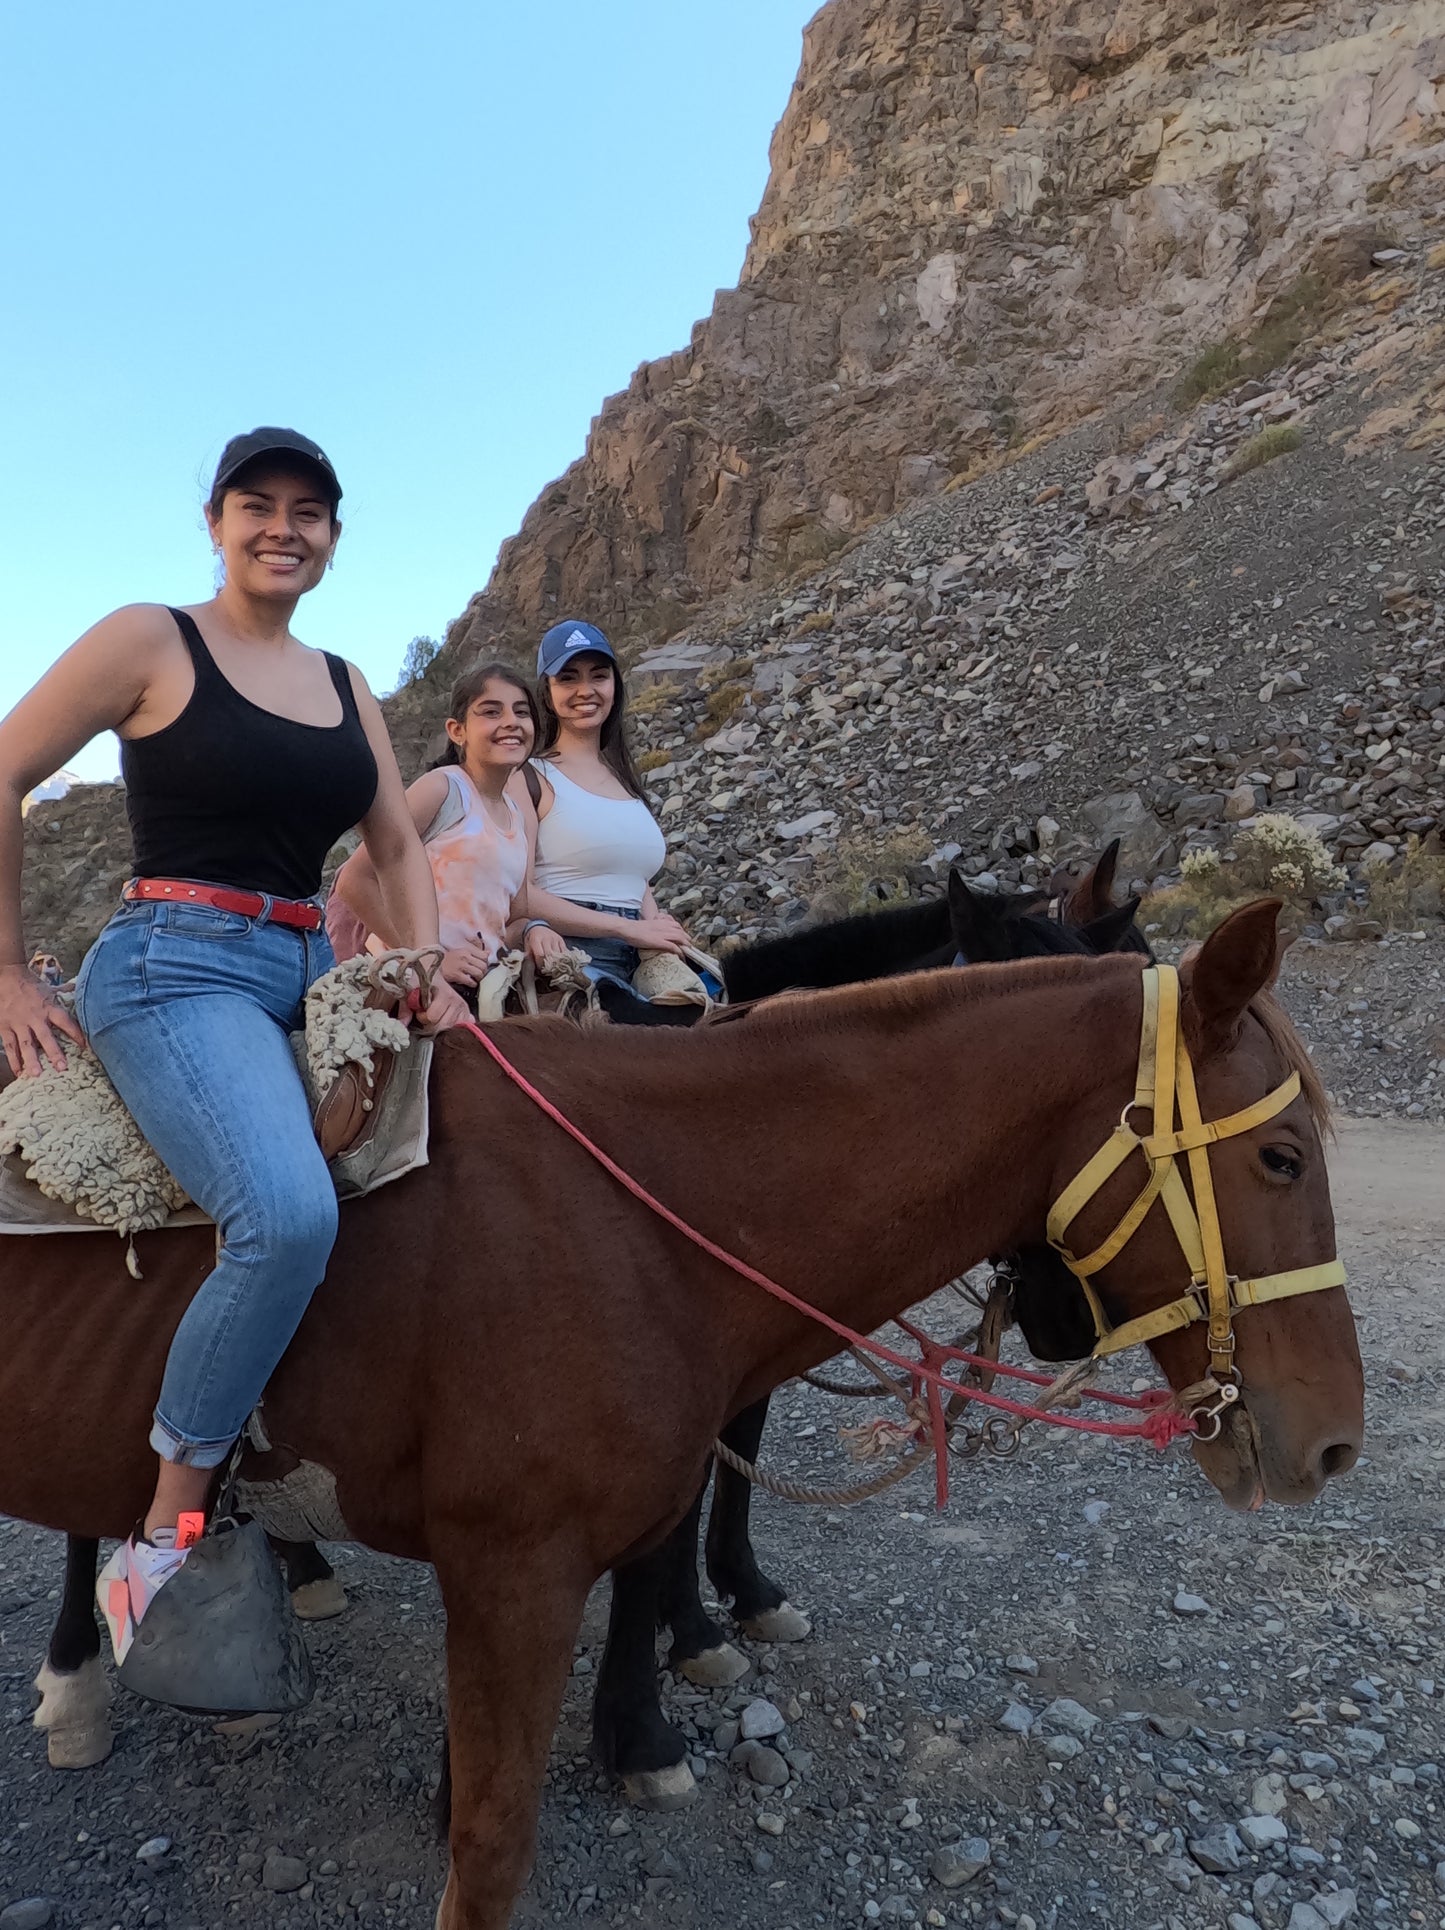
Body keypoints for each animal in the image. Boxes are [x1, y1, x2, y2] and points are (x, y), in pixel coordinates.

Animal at [0, 903, 1358, 1930]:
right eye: (1281, 1157)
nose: (1329, 1440)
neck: (638, 1206)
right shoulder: (512, 1570)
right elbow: (490, 1843)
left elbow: (653, 1570)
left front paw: (663, 1692)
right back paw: (83, 1675)